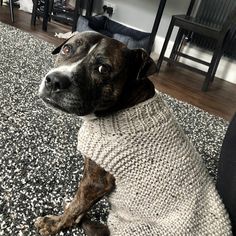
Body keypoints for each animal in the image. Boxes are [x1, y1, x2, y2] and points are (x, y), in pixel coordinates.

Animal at [35, 31, 232, 236]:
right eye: (67, 49)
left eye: (103, 69)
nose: (55, 80)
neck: (126, 104)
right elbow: (82, 204)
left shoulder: (96, 181)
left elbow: (77, 204)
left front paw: (55, 223)